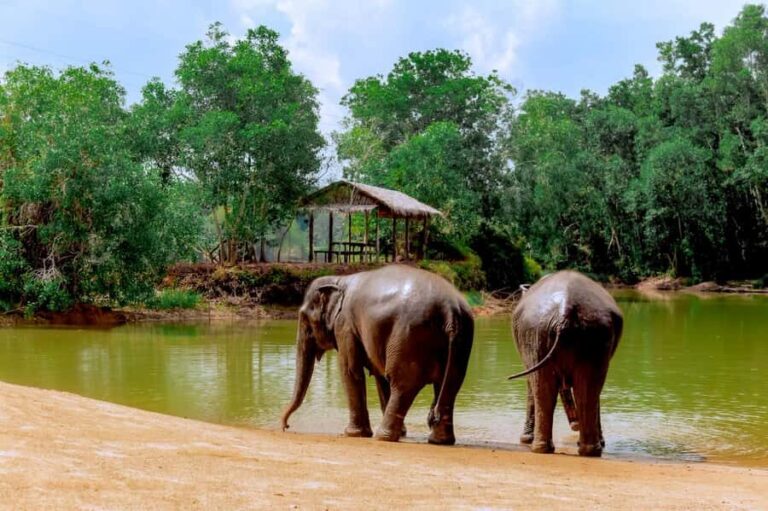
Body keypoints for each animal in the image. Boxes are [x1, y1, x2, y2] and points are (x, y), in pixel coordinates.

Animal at [280, 265, 474, 445]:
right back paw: (439, 441)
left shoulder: (345, 325)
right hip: (460, 342)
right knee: (449, 386)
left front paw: (352, 434)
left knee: (402, 384)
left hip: (409, 337)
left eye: (305, 319)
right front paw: (402, 433)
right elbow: (380, 378)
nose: (285, 426)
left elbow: (350, 371)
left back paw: (384, 437)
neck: (340, 280)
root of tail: (450, 309)